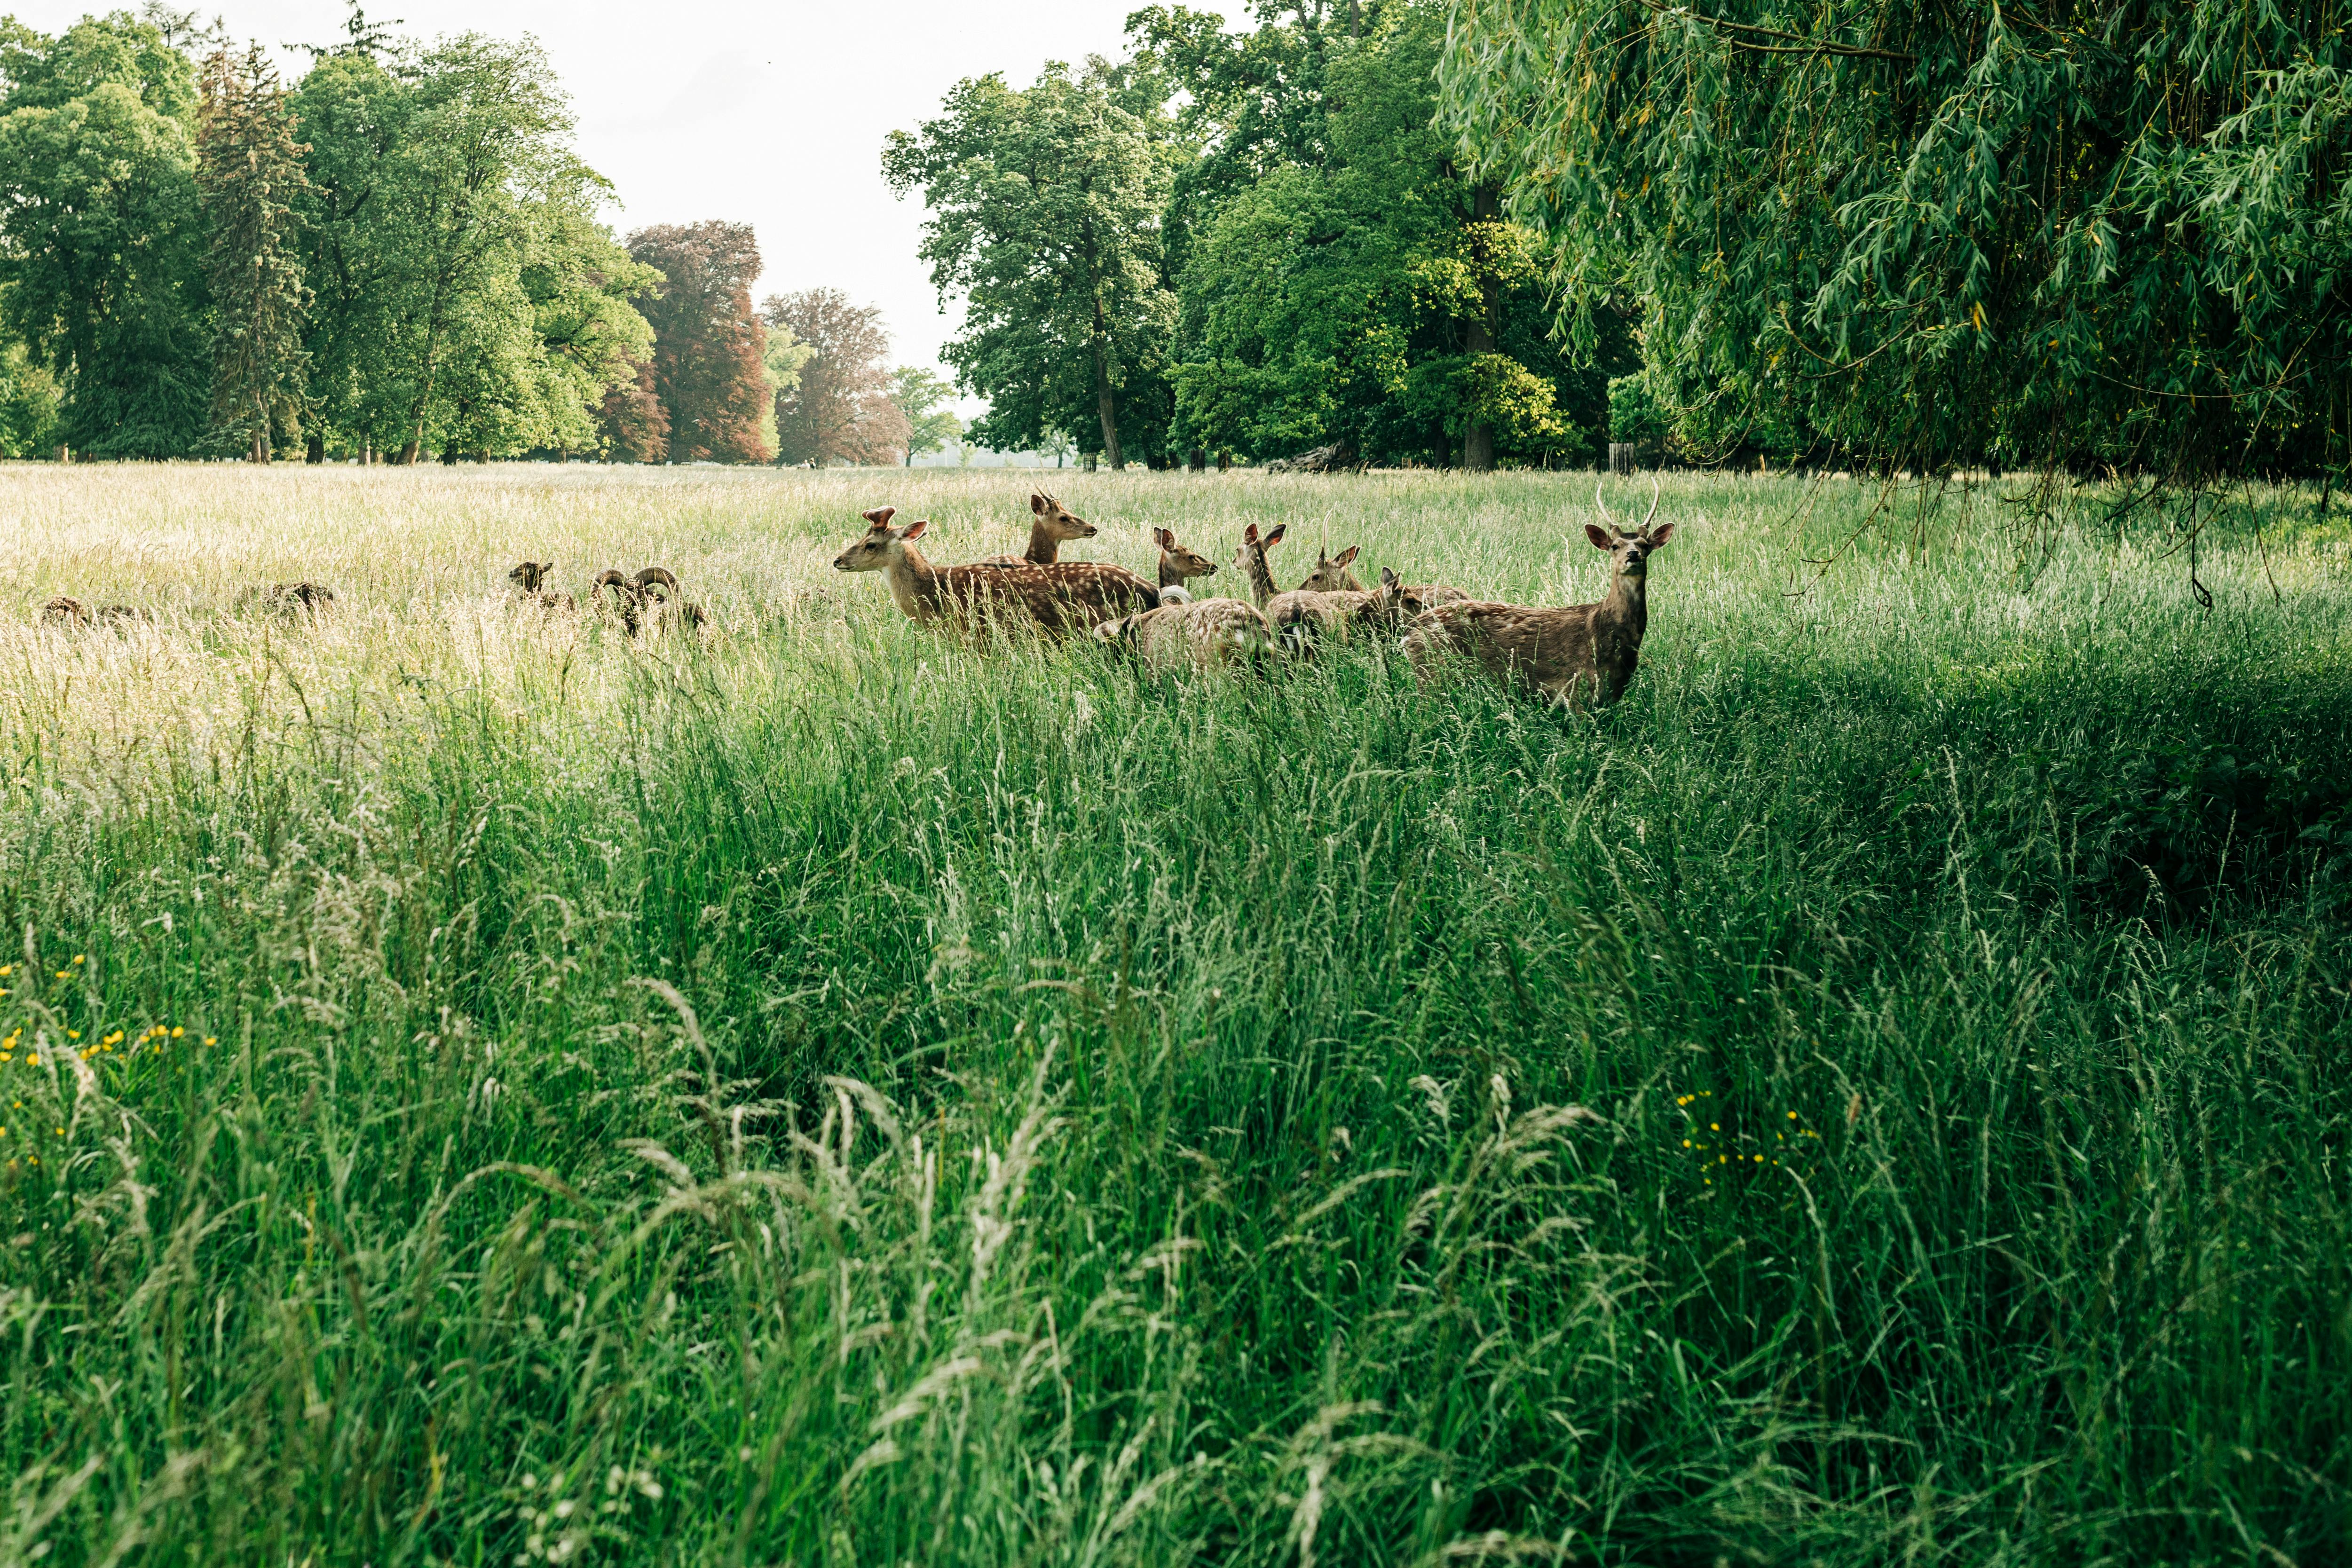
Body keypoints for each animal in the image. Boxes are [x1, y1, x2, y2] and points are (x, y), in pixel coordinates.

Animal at [1403, 476, 1673, 707]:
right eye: (1615, 546)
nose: (1633, 555)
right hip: (1432, 674)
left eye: (1646, 545)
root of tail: (1408, 633)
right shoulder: (1575, 687)